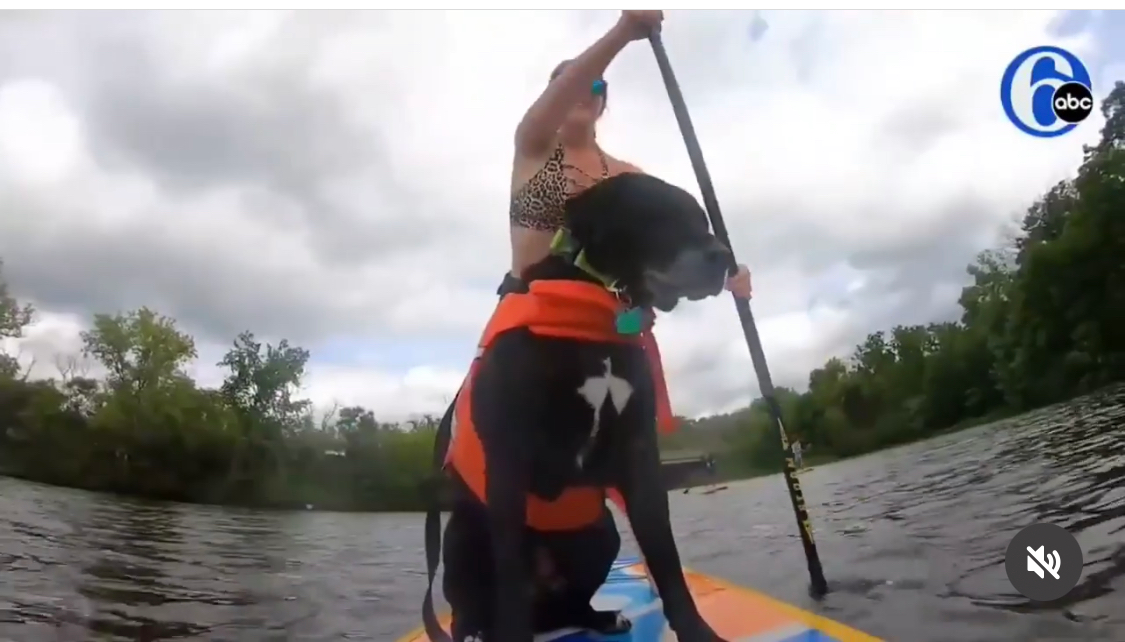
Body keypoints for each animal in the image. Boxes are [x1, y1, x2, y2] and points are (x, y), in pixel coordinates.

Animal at [427, 172, 729, 642]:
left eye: (703, 220)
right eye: (662, 214)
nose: (725, 259)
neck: (598, 299)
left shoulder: (640, 455)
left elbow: (666, 557)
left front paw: (698, 632)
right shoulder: (509, 459)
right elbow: (510, 578)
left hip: (602, 533)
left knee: (568, 605)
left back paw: (599, 617)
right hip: (462, 537)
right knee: (474, 611)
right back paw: (480, 631)